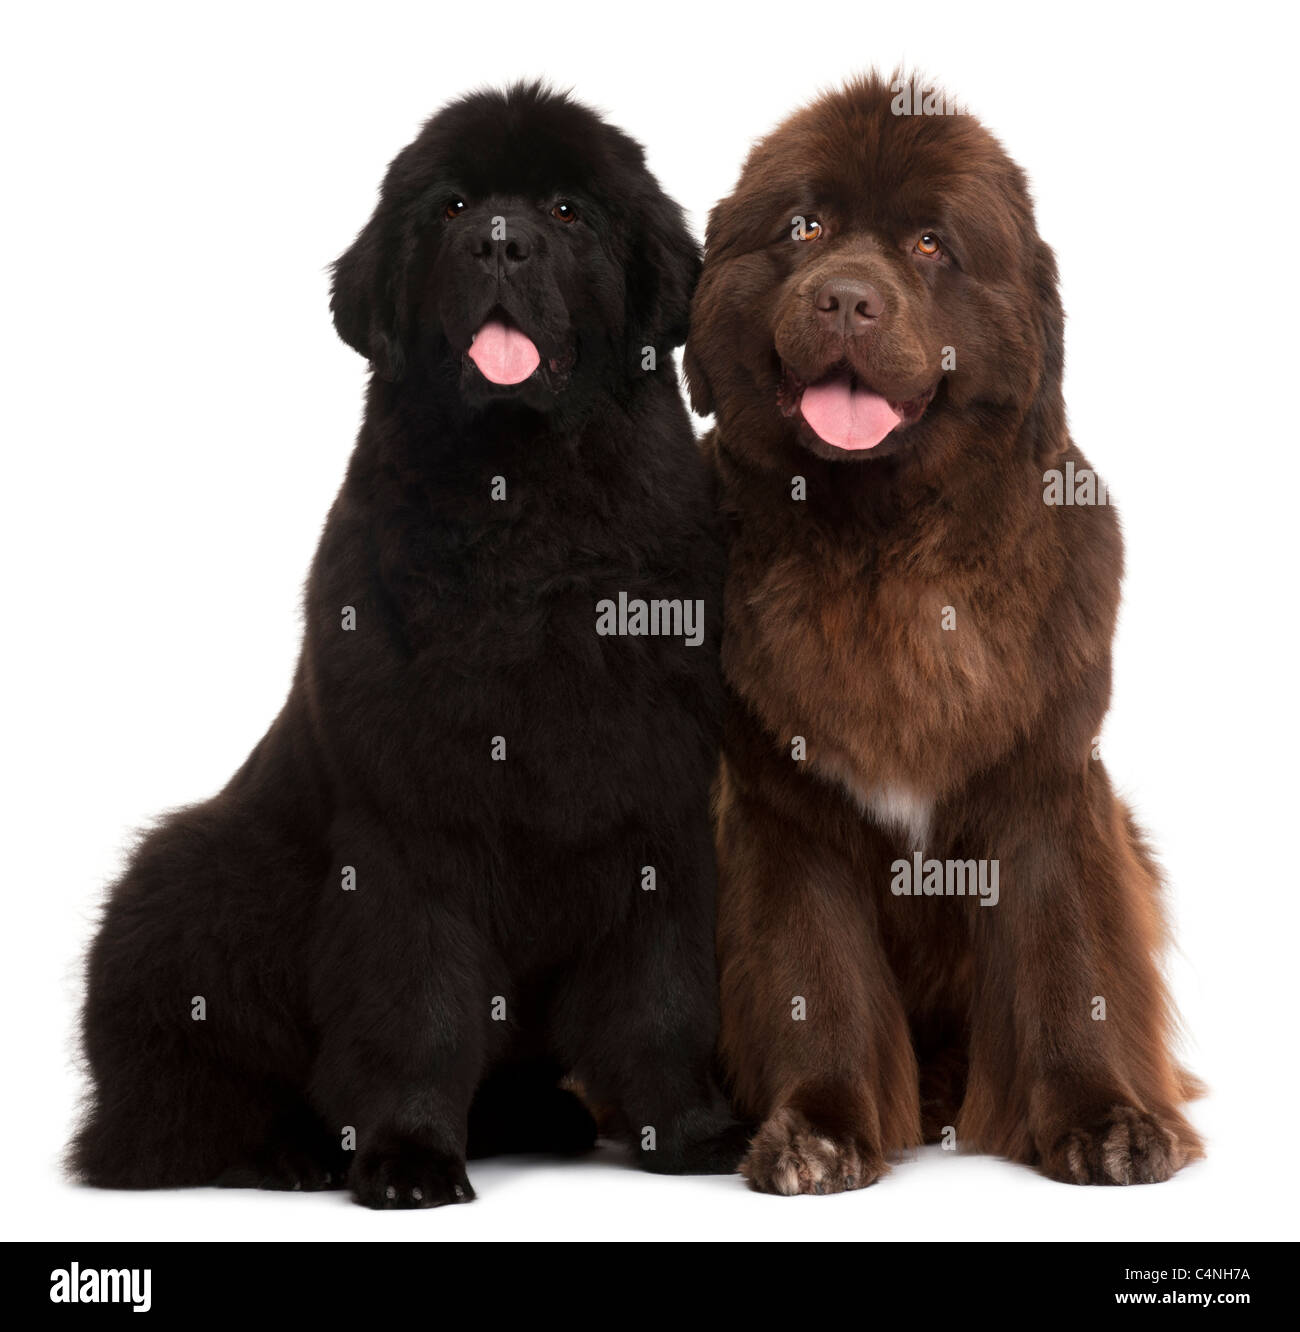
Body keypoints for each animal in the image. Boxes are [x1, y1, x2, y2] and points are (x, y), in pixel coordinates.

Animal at [71, 83, 740, 1209]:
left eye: (568, 210)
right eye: (453, 206)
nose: (500, 242)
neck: (527, 517)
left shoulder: (657, 809)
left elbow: (664, 992)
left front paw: (690, 1131)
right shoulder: (408, 827)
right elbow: (415, 1005)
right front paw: (409, 1156)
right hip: (186, 881)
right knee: (181, 1101)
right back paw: (290, 1151)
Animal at [687, 75, 1204, 1198]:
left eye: (930, 244)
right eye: (804, 227)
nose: (846, 297)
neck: (883, 554)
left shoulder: (1047, 786)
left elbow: (1070, 963)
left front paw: (1105, 1120)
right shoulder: (785, 811)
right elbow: (814, 979)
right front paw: (819, 1131)